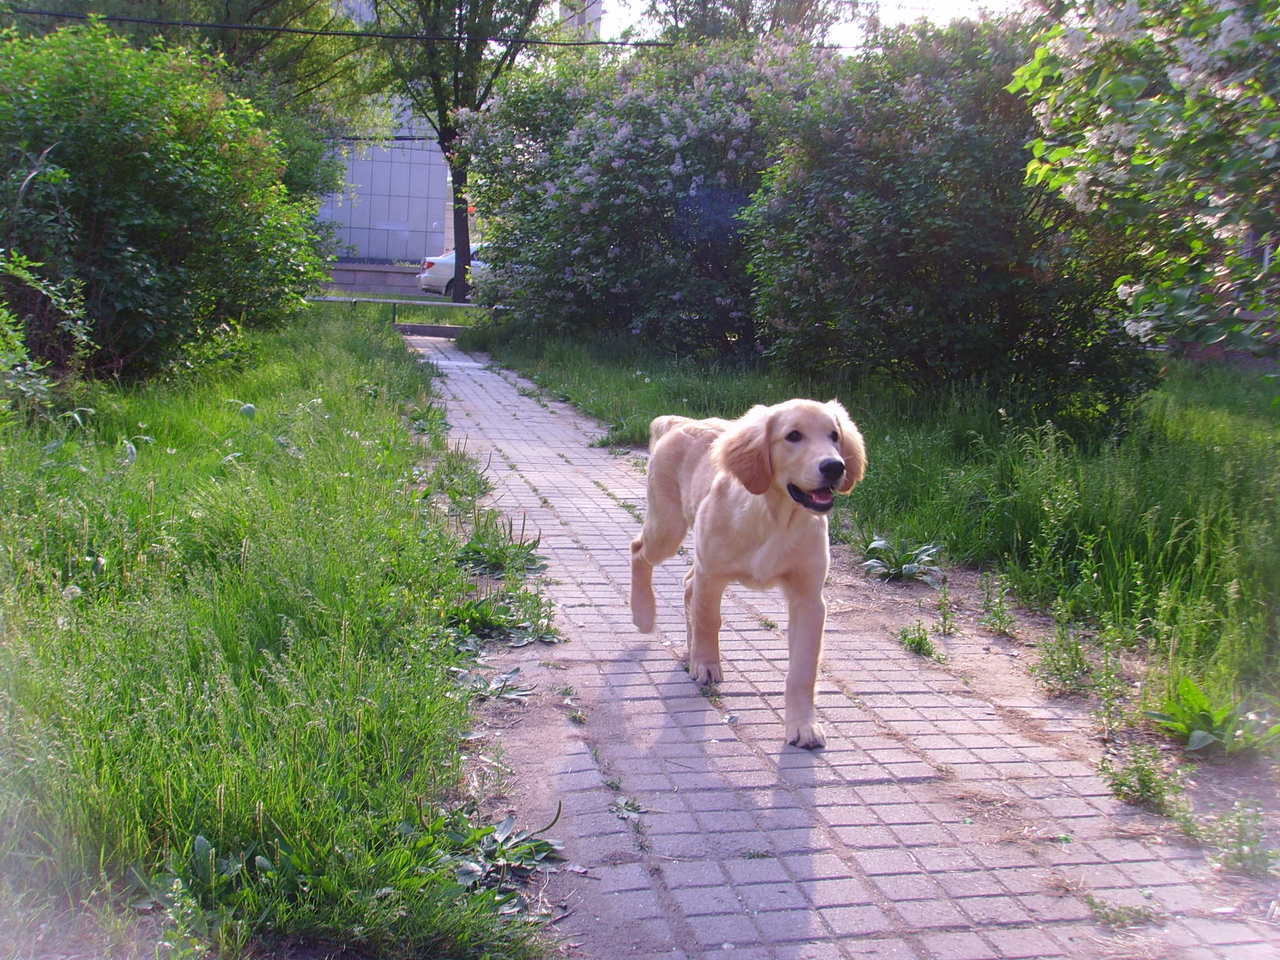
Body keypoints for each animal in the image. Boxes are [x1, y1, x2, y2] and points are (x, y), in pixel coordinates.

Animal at [630, 399, 866, 748]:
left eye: (834, 435)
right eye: (793, 436)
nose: (834, 467)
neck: (776, 518)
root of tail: (680, 421)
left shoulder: (809, 600)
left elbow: (803, 670)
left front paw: (803, 725)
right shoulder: (713, 574)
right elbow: (709, 620)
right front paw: (706, 665)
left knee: (687, 583)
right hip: (667, 528)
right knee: (639, 551)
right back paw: (644, 615)